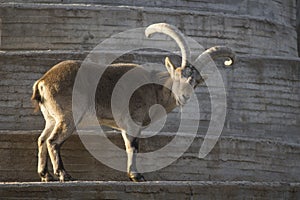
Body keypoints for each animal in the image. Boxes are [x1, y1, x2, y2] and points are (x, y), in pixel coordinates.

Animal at [32, 22, 234, 182]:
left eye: (195, 82)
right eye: (177, 76)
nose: (184, 96)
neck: (155, 88)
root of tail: (42, 82)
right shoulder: (132, 121)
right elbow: (133, 147)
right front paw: (136, 176)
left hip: (51, 118)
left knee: (42, 139)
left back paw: (45, 175)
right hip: (68, 117)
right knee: (52, 141)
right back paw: (63, 175)